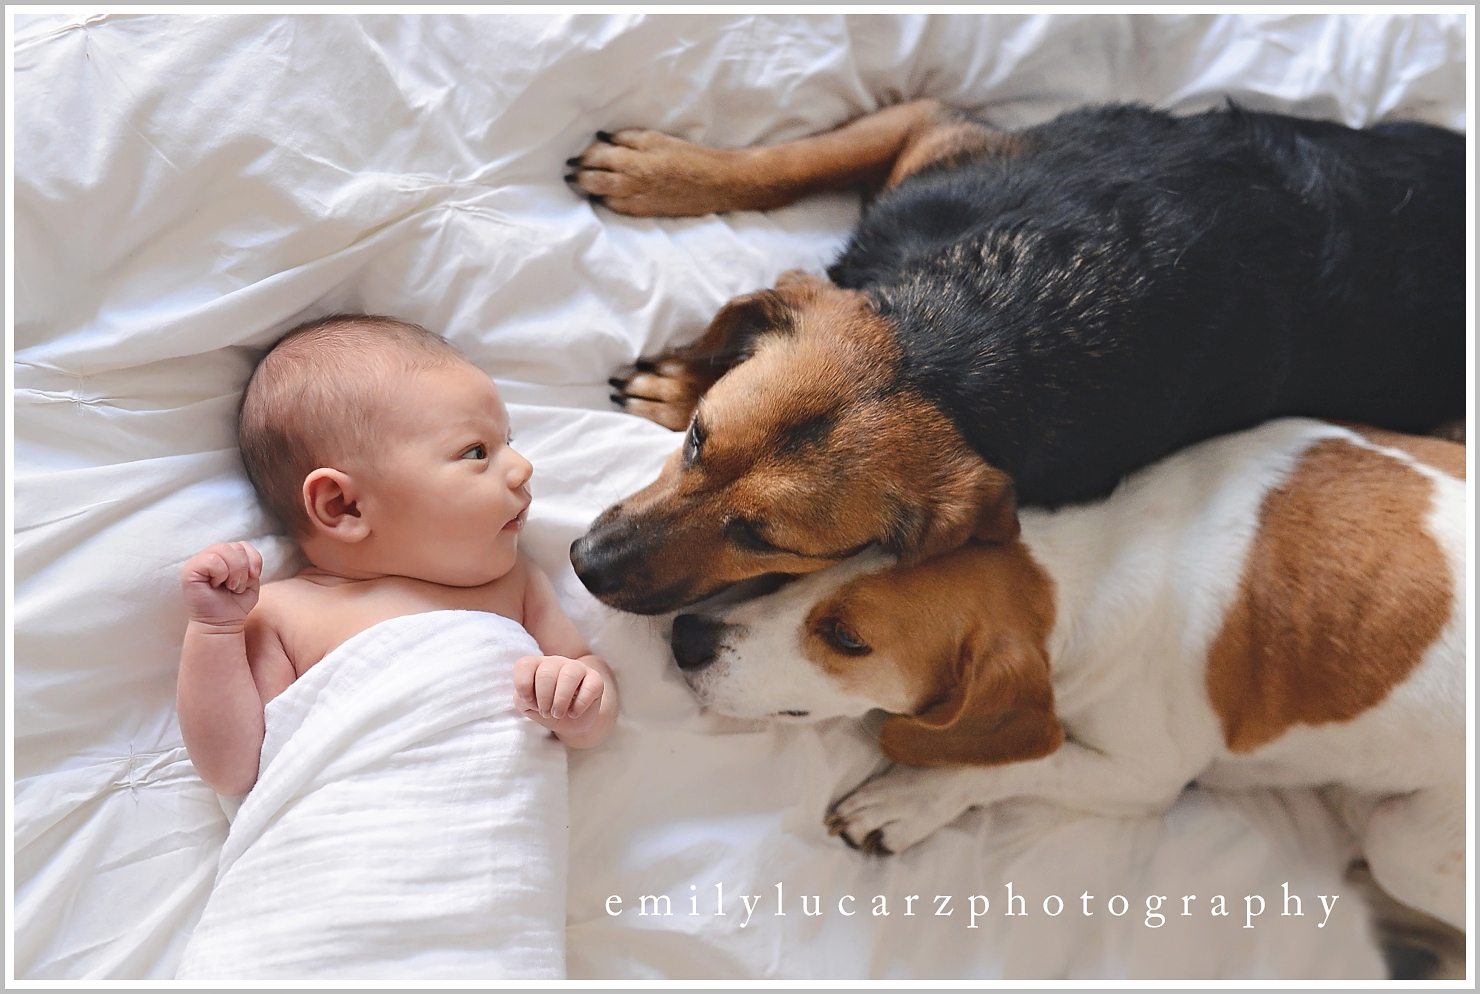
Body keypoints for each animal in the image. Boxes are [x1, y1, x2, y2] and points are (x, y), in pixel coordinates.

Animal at [559, 100, 1462, 612]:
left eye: (761, 538)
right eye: (697, 444)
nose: (584, 564)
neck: (973, 336)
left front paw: (682, 373)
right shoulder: (936, 131)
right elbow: (801, 158)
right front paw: (666, 173)